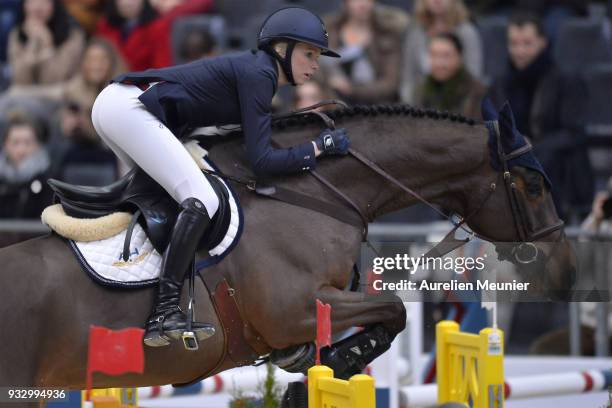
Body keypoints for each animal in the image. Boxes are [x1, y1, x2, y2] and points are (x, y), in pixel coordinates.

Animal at [0, 103, 572, 408]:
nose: (561, 268)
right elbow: (394, 312)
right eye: (533, 185)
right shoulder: (290, 310)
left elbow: (386, 315)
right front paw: (335, 362)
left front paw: (317, 363)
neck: (312, 193)